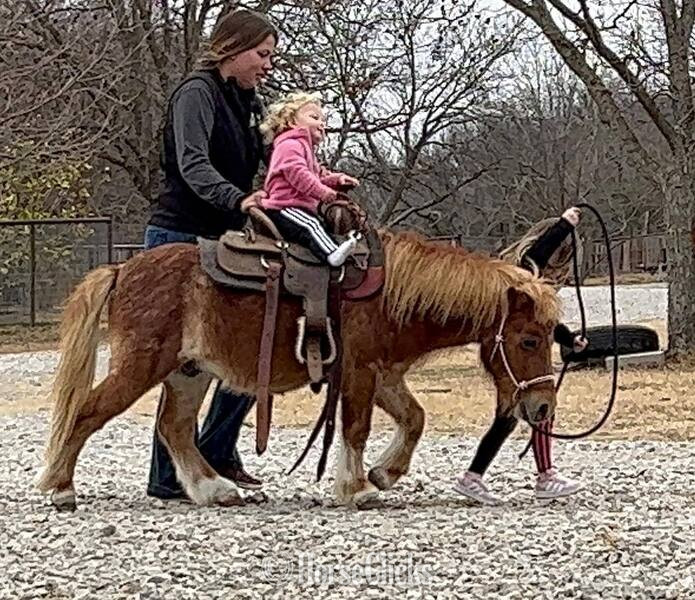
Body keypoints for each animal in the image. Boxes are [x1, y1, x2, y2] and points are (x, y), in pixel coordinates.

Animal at [35, 230, 561, 511]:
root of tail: (122, 269)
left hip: (189, 373)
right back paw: (61, 488)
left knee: (175, 427)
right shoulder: (360, 373)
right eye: (529, 340)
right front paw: (356, 488)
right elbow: (356, 428)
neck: (391, 295)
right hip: (141, 366)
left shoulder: (385, 375)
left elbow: (414, 418)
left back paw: (213, 489)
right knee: (87, 412)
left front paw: (385, 473)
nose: (541, 406)